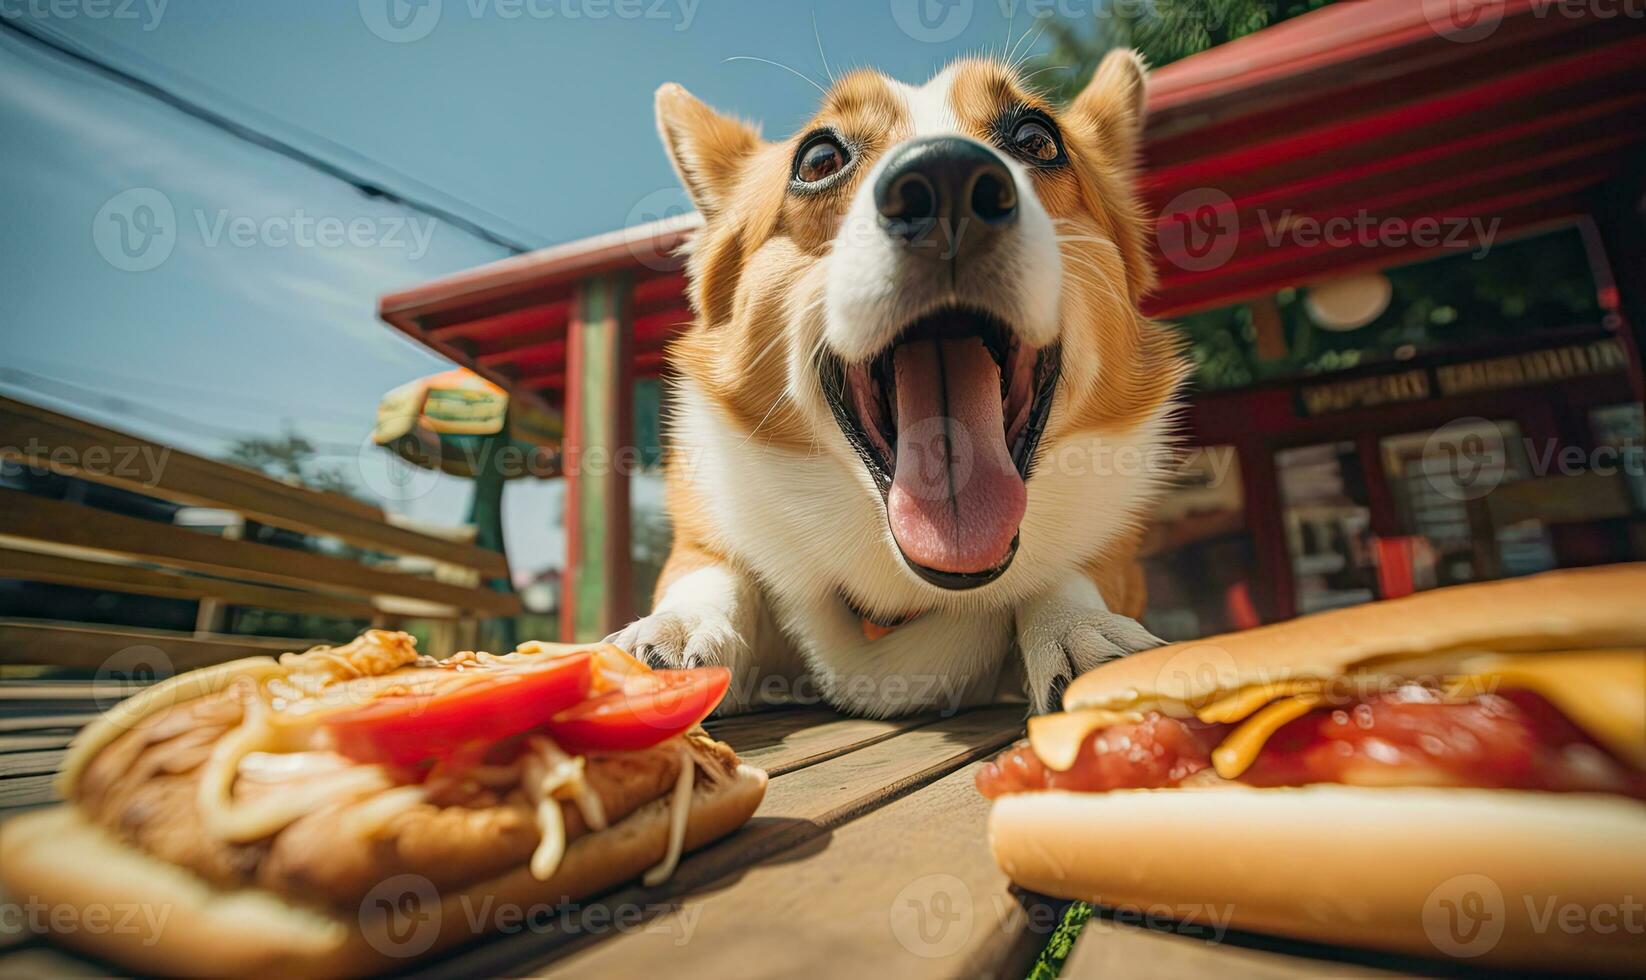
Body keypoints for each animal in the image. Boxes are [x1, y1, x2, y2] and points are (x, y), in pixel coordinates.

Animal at [612, 49, 1191, 718]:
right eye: (818, 158)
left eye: (1037, 138)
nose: (947, 179)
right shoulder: (706, 535)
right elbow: (715, 571)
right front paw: (679, 626)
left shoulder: (1114, 553)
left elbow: (1068, 573)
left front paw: (1079, 630)